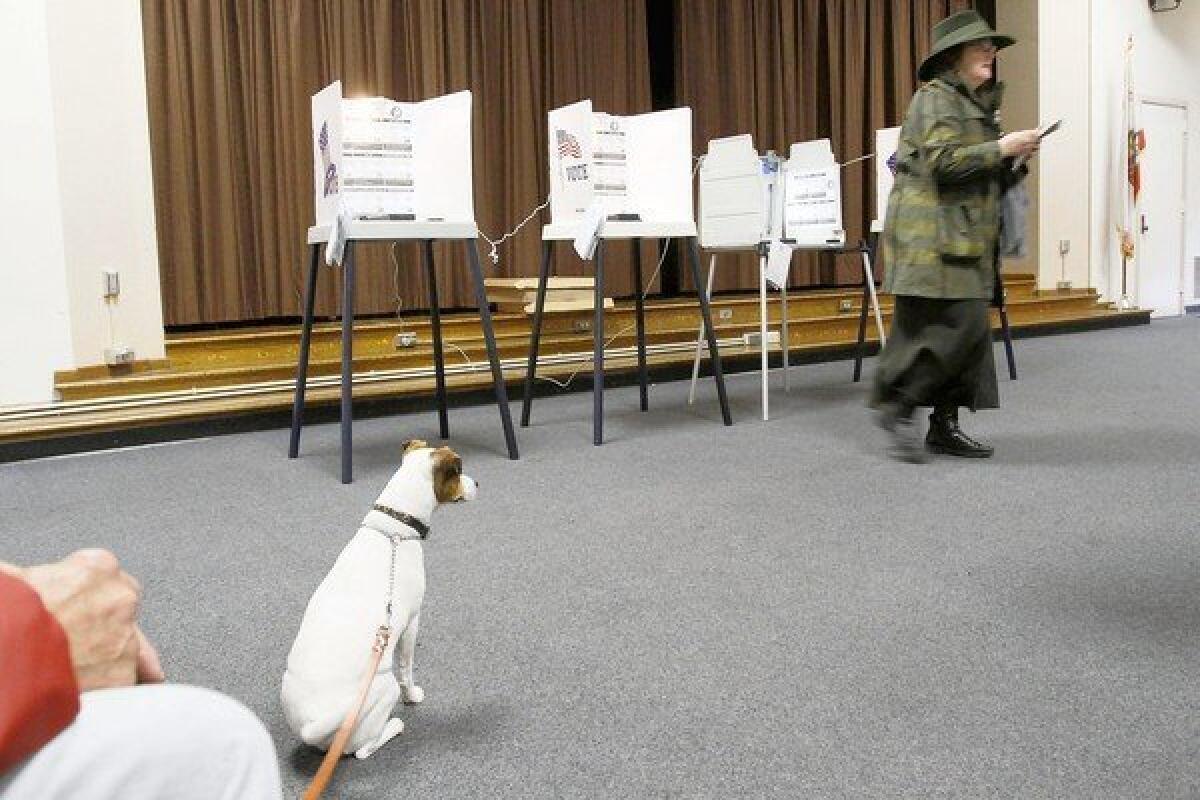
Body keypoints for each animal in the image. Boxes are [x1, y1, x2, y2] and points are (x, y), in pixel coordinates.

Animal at [282, 441, 477, 762]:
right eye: (459, 472)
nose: (478, 483)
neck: (395, 529)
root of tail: (312, 725)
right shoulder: (412, 621)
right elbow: (407, 668)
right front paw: (414, 697)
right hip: (385, 690)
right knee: (364, 749)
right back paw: (395, 725)